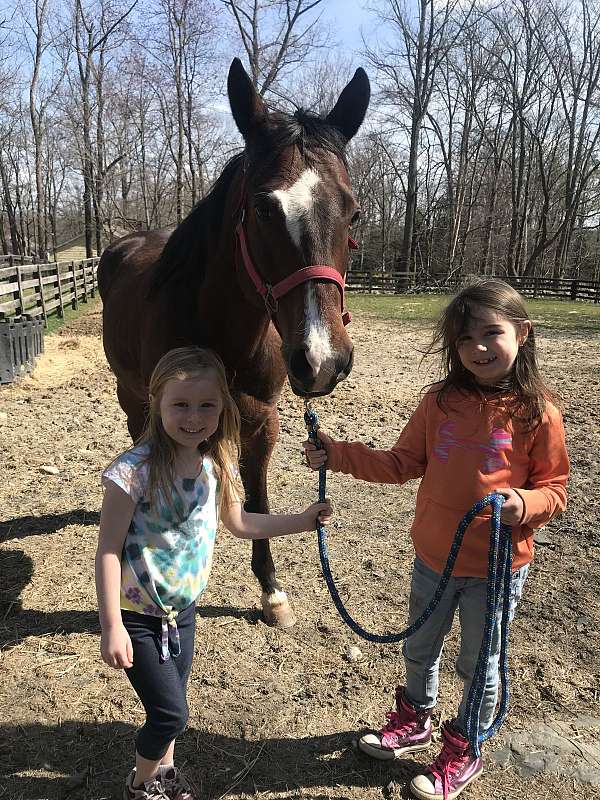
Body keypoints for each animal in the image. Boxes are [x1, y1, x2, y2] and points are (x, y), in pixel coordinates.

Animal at [98, 58, 370, 628]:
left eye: (353, 212)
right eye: (264, 210)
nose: (322, 360)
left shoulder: (261, 418)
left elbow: (258, 499)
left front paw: (271, 590)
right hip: (130, 392)